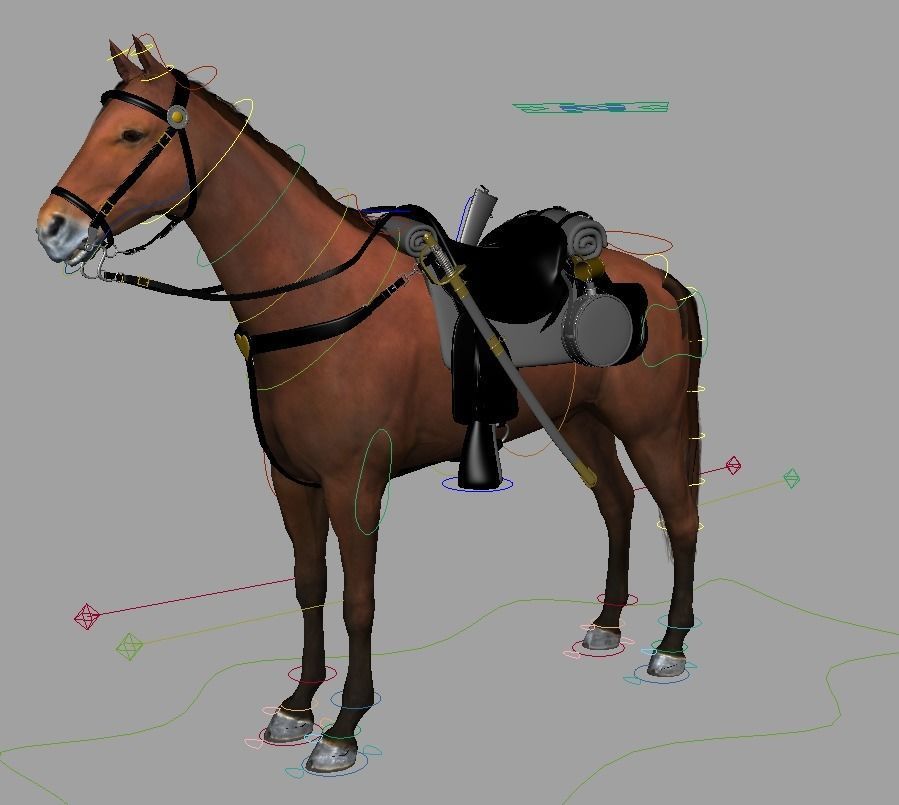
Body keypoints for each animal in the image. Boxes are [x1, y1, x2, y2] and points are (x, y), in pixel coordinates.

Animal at [35, 37, 703, 773]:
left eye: (132, 134)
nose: (54, 229)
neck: (319, 298)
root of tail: (659, 283)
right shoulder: (293, 482)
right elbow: (309, 586)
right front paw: (297, 707)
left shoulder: (353, 481)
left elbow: (359, 599)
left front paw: (342, 727)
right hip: (580, 423)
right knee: (616, 503)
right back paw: (606, 625)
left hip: (652, 428)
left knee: (680, 516)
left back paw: (670, 647)